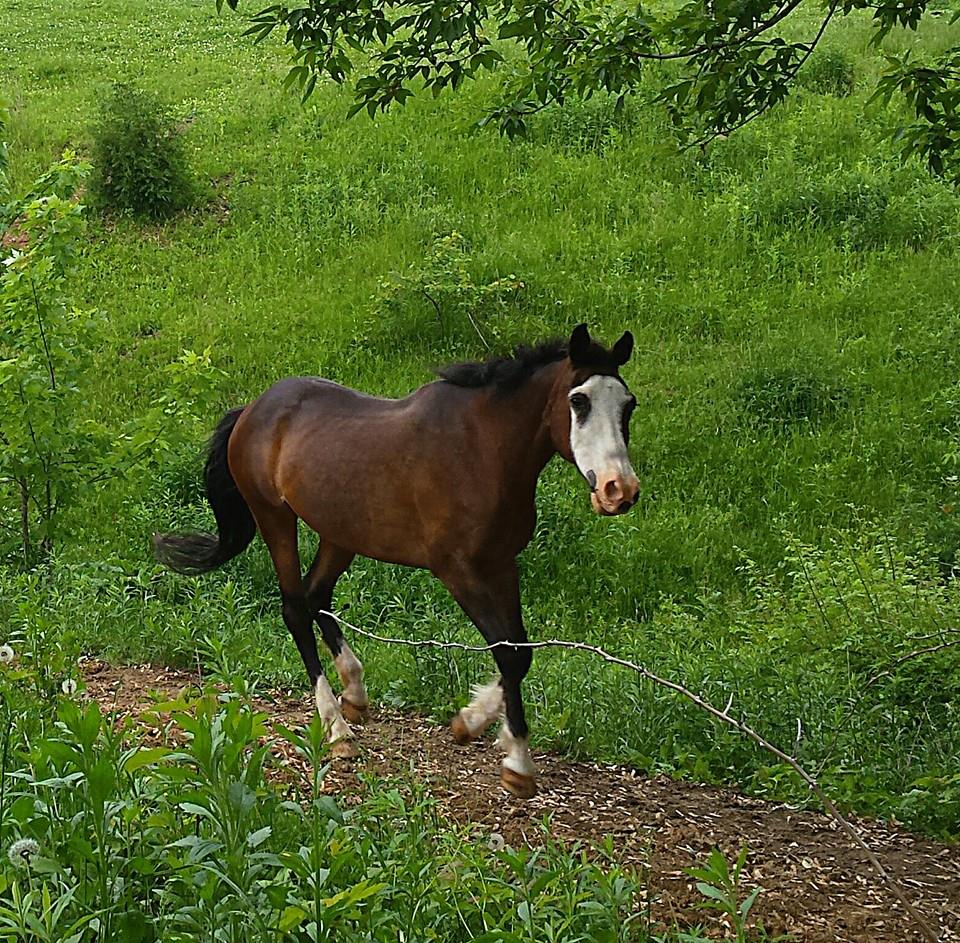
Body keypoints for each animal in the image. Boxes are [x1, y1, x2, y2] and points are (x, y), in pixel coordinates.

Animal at [154, 324, 640, 796]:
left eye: (628, 405)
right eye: (578, 400)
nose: (619, 490)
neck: (483, 451)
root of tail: (252, 409)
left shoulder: (503, 565)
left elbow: (518, 650)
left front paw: (494, 739)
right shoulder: (458, 570)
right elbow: (510, 654)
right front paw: (498, 746)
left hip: (340, 534)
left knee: (316, 598)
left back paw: (354, 692)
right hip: (275, 518)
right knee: (294, 608)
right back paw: (337, 729)